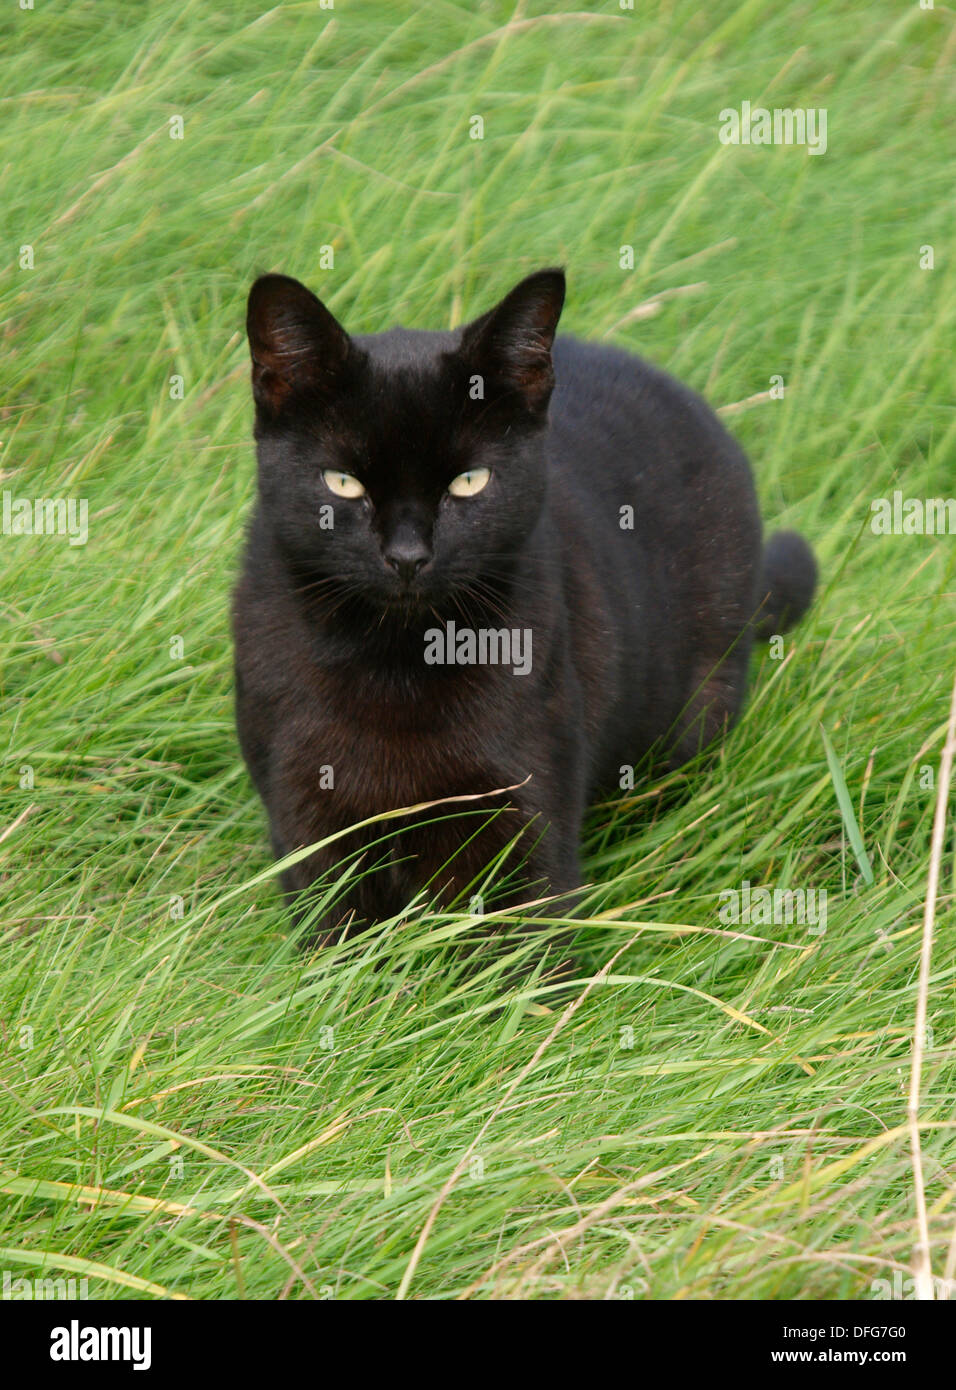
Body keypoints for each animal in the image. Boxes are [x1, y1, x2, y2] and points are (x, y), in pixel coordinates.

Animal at [232, 265, 811, 939]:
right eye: (343, 483)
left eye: (469, 481)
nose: (407, 556)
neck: (396, 665)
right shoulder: (307, 816)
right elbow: (335, 938)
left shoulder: (521, 812)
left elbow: (526, 944)